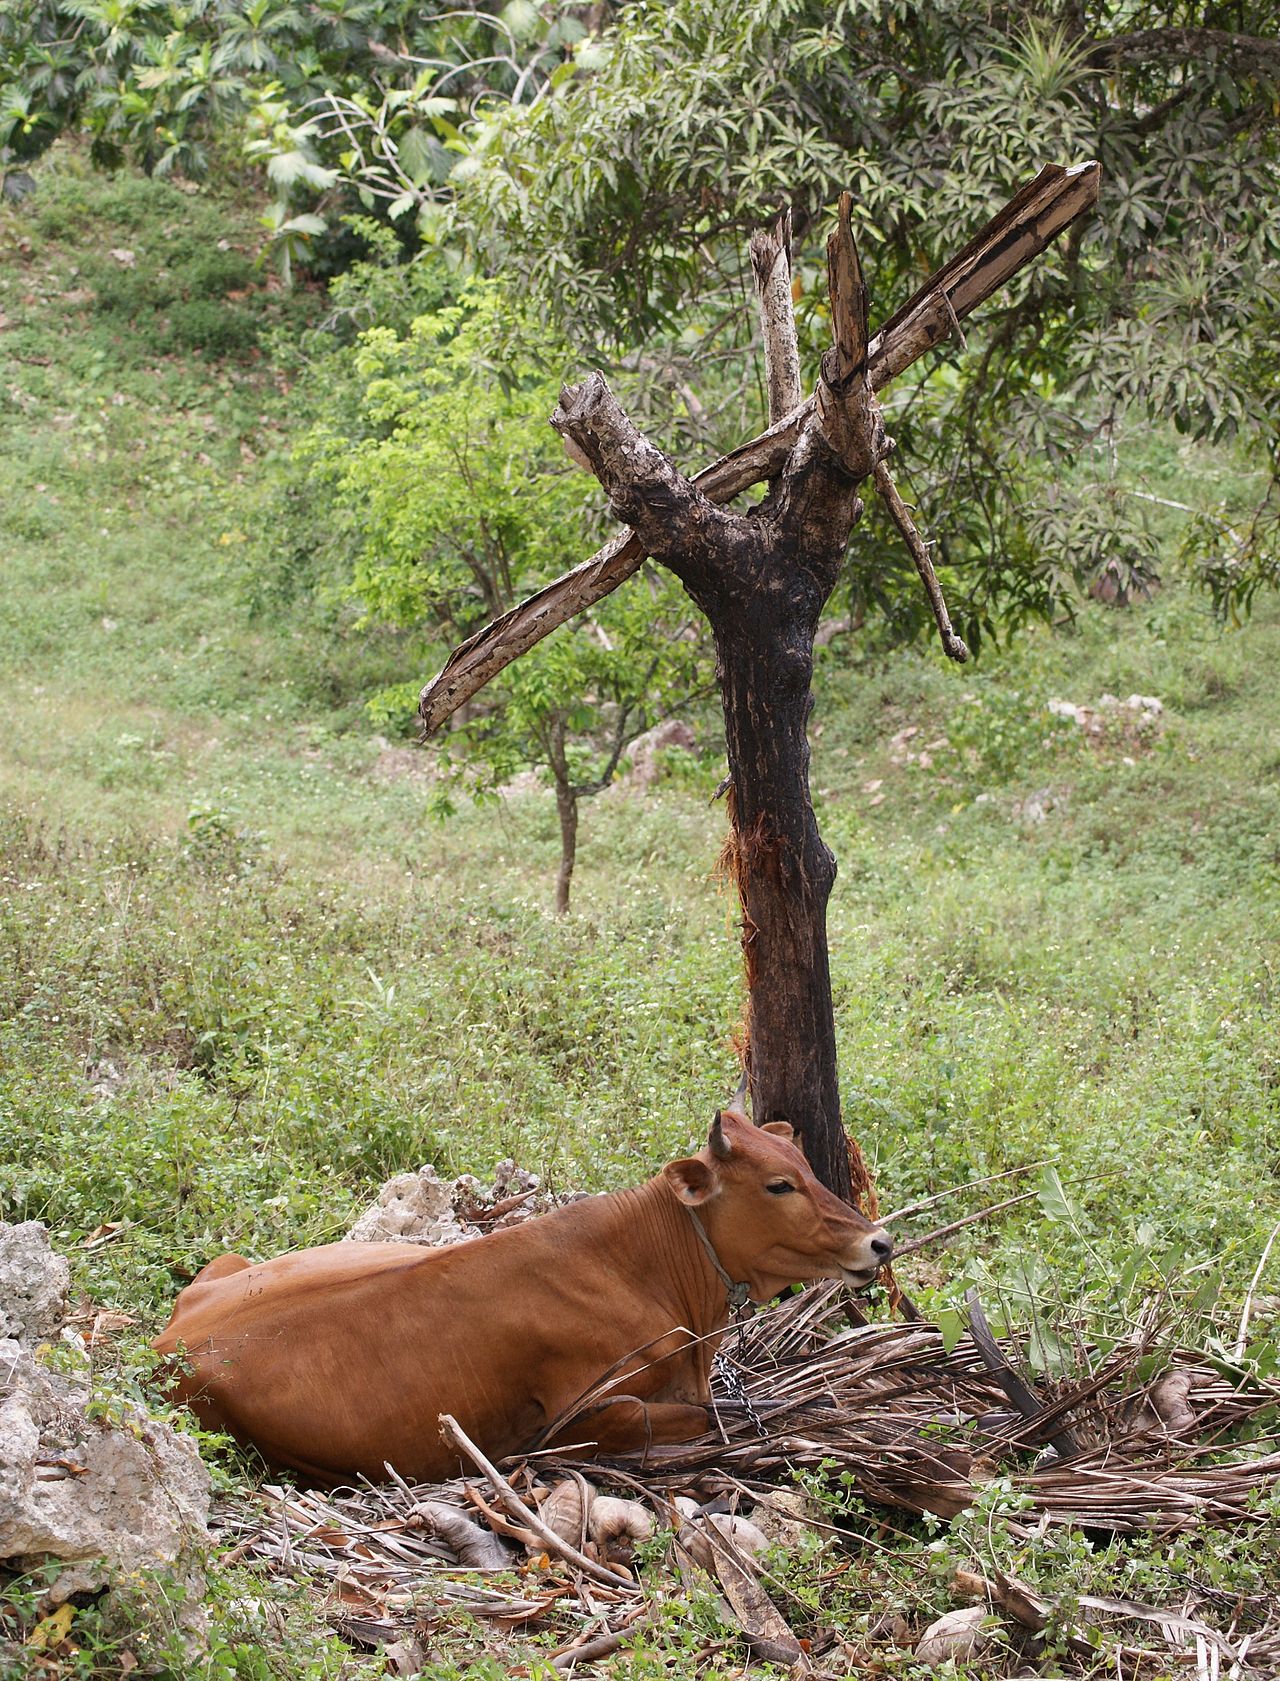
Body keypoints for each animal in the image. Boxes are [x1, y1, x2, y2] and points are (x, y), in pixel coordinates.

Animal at [153, 1109, 892, 1485]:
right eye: (778, 1185)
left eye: (803, 1167)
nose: (879, 1243)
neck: (646, 1267)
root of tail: (165, 1344)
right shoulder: (583, 1415)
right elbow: (702, 1418)